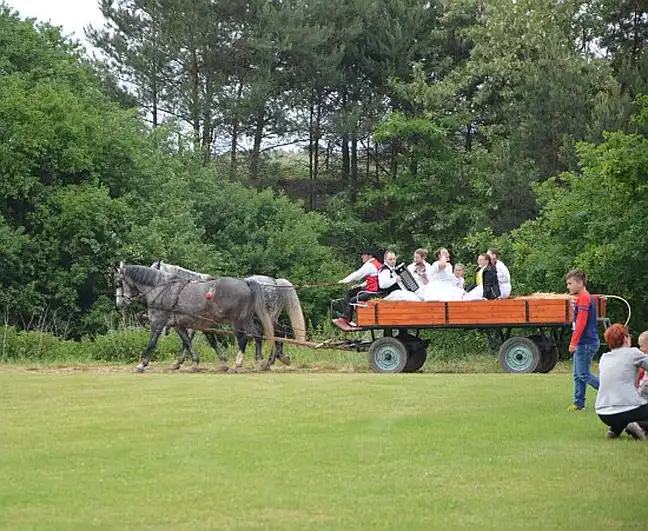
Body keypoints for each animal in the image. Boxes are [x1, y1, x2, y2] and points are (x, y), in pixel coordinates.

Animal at [115, 262, 274, 374]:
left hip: (237, 320)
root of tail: (245, 282)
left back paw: (237, 364)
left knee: (243, 337)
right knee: (257, 334)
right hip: (246, 318)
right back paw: (259, 362)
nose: (120, 302)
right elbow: (189, 342)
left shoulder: (157, 322)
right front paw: (196, 363)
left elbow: (152, 343)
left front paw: (142, 364)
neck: (162, 289)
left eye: (118, 282)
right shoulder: (180, 324)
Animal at [152, 260, 306, 368]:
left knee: (275, 332)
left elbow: (187, 340)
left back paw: (270, 360)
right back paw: (274, 359)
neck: (189, 290)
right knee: (274, 332)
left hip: (266, 316)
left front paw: (178, 363)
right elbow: (189, 340)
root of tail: (275, 282)